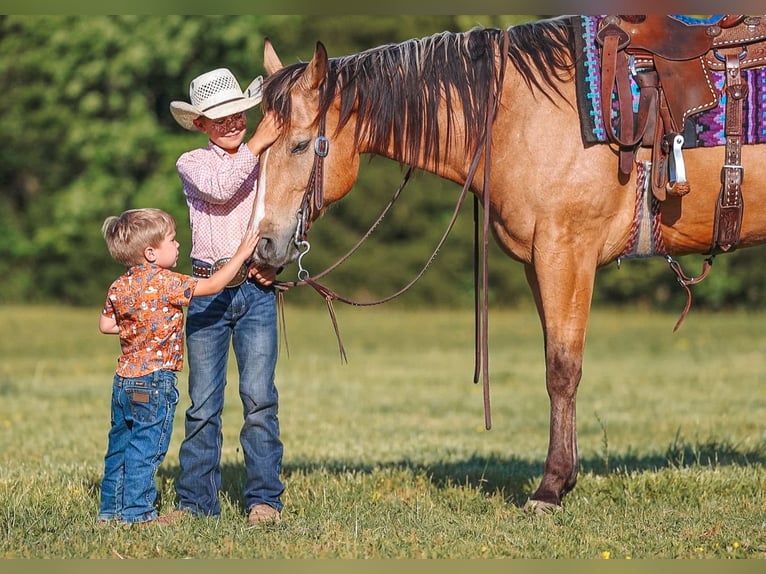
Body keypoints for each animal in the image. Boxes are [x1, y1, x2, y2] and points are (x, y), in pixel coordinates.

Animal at [250, 15, 766, 512]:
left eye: (300, 145)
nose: (265, 245)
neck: (522, 114)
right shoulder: (538, 262)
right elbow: (554, 361)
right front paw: (564, 479)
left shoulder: (566, 252)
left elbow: (563, 368)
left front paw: (550, 488)